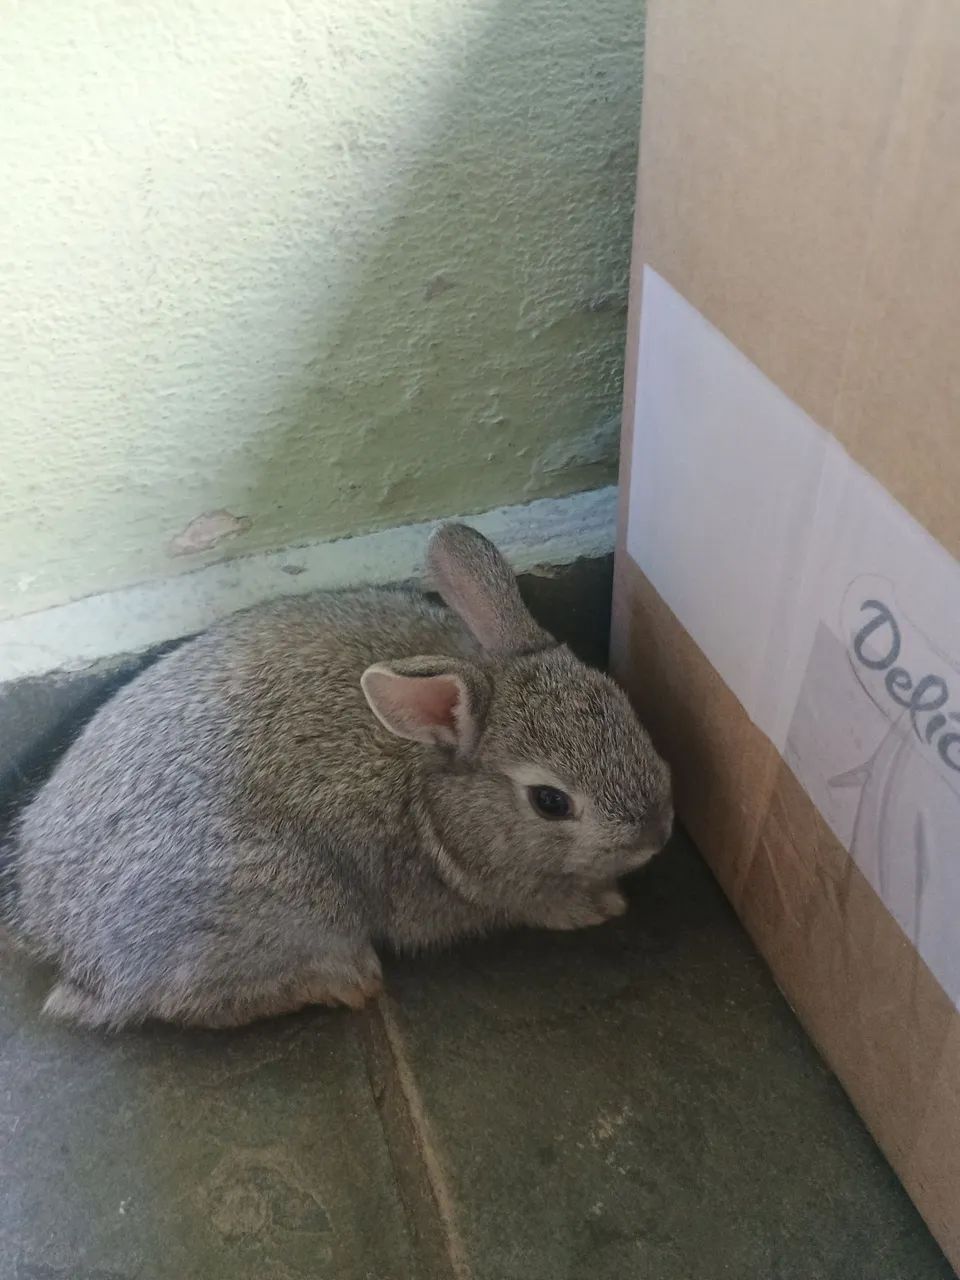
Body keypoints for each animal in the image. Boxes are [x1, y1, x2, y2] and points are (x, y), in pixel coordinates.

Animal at [1, 523, 673, 1030]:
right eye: (550, 802)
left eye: (623, 704)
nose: (657, 835)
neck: (427, 788)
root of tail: (54, 933)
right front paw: (601, 904)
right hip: (287, 905)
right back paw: (348, 983)